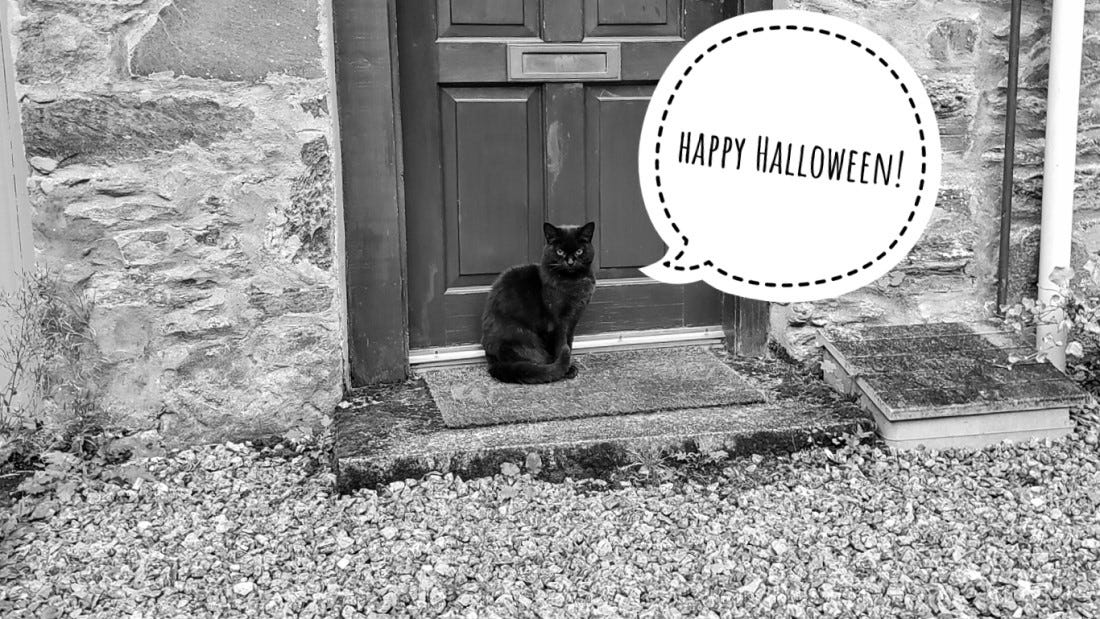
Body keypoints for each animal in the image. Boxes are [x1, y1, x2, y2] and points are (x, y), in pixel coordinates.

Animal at [481, 217, 598, 382]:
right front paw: (567, 369)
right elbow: (561, 345)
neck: (572, 283)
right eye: (559, 251)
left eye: (579, 251)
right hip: (524, 336)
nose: (570, 262)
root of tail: (493, 361)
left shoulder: (573, 319)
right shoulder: (556, 322)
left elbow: (569, 342)